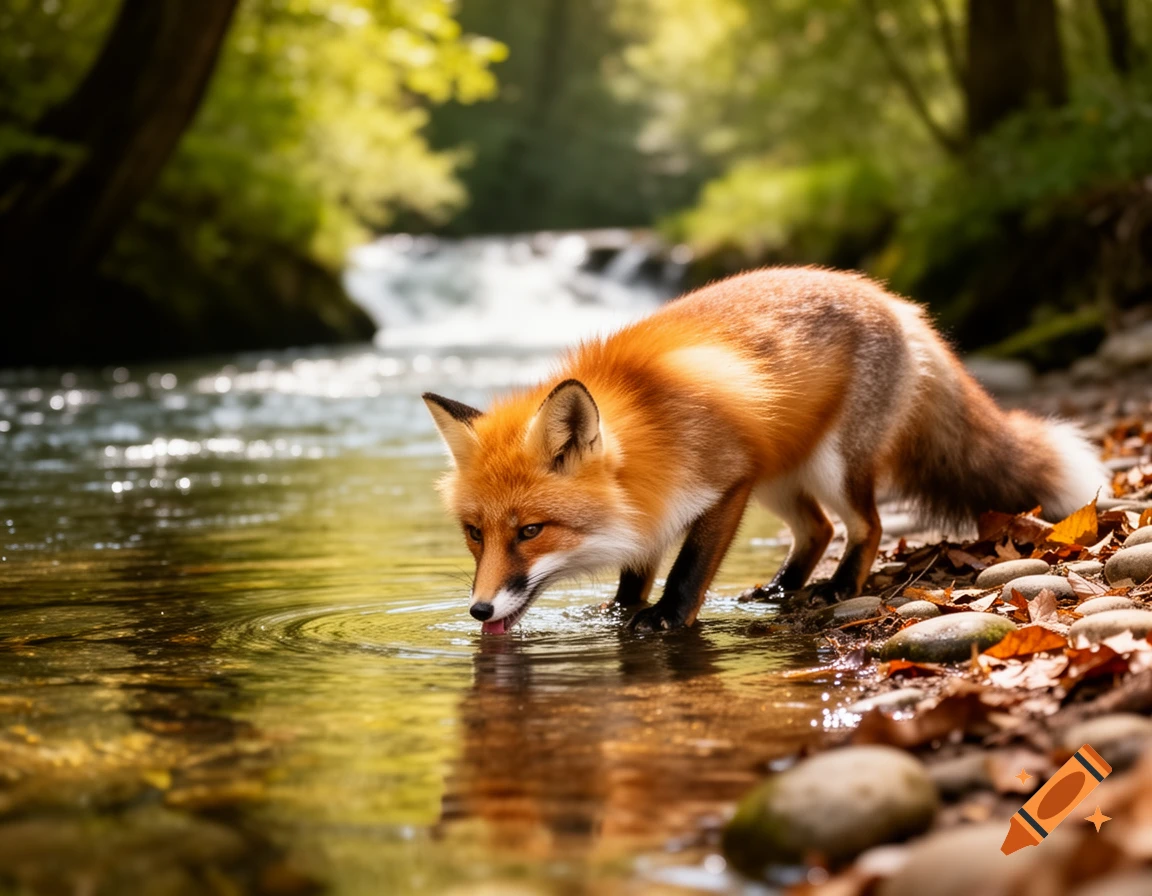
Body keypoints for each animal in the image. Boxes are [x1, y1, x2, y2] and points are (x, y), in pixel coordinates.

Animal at [423, 267, 1106, 634]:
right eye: (475, 534)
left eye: (531, 531)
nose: (479, 611)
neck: (650, 424)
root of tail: (895, 302)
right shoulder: (652, 504)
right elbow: (638, 567)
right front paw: (622, 611)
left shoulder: (727, 482)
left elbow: (689, 567)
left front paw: (665, 618)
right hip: (782, 476)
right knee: (817, 528)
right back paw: (781, 588)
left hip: (829, 467)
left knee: (865, 525)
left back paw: (836, 587)